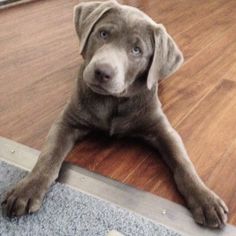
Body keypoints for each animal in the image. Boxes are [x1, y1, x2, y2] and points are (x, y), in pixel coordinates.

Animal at [0, 0, 228, 229]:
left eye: (136, 50)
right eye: (103, 34)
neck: (113, 101)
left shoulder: (161, 128)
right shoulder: (67, 121)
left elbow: (183, 162)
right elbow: (49, 154)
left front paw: (205, 198)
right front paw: (28, 188)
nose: (102, 71)